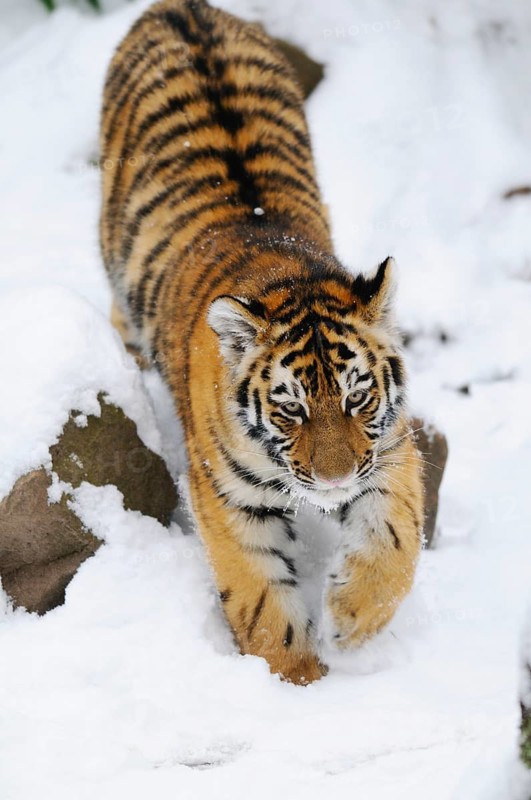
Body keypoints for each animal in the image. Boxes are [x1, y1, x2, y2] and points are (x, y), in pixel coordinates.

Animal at [100, 0, 424, 685]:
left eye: (357, 397)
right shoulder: (225, 494)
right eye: (290, 407)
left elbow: (396, 539)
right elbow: (258, 596)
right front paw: (295, 680)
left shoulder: (389, 453)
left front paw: (352, 621)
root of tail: (179, 7)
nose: (333, 481)